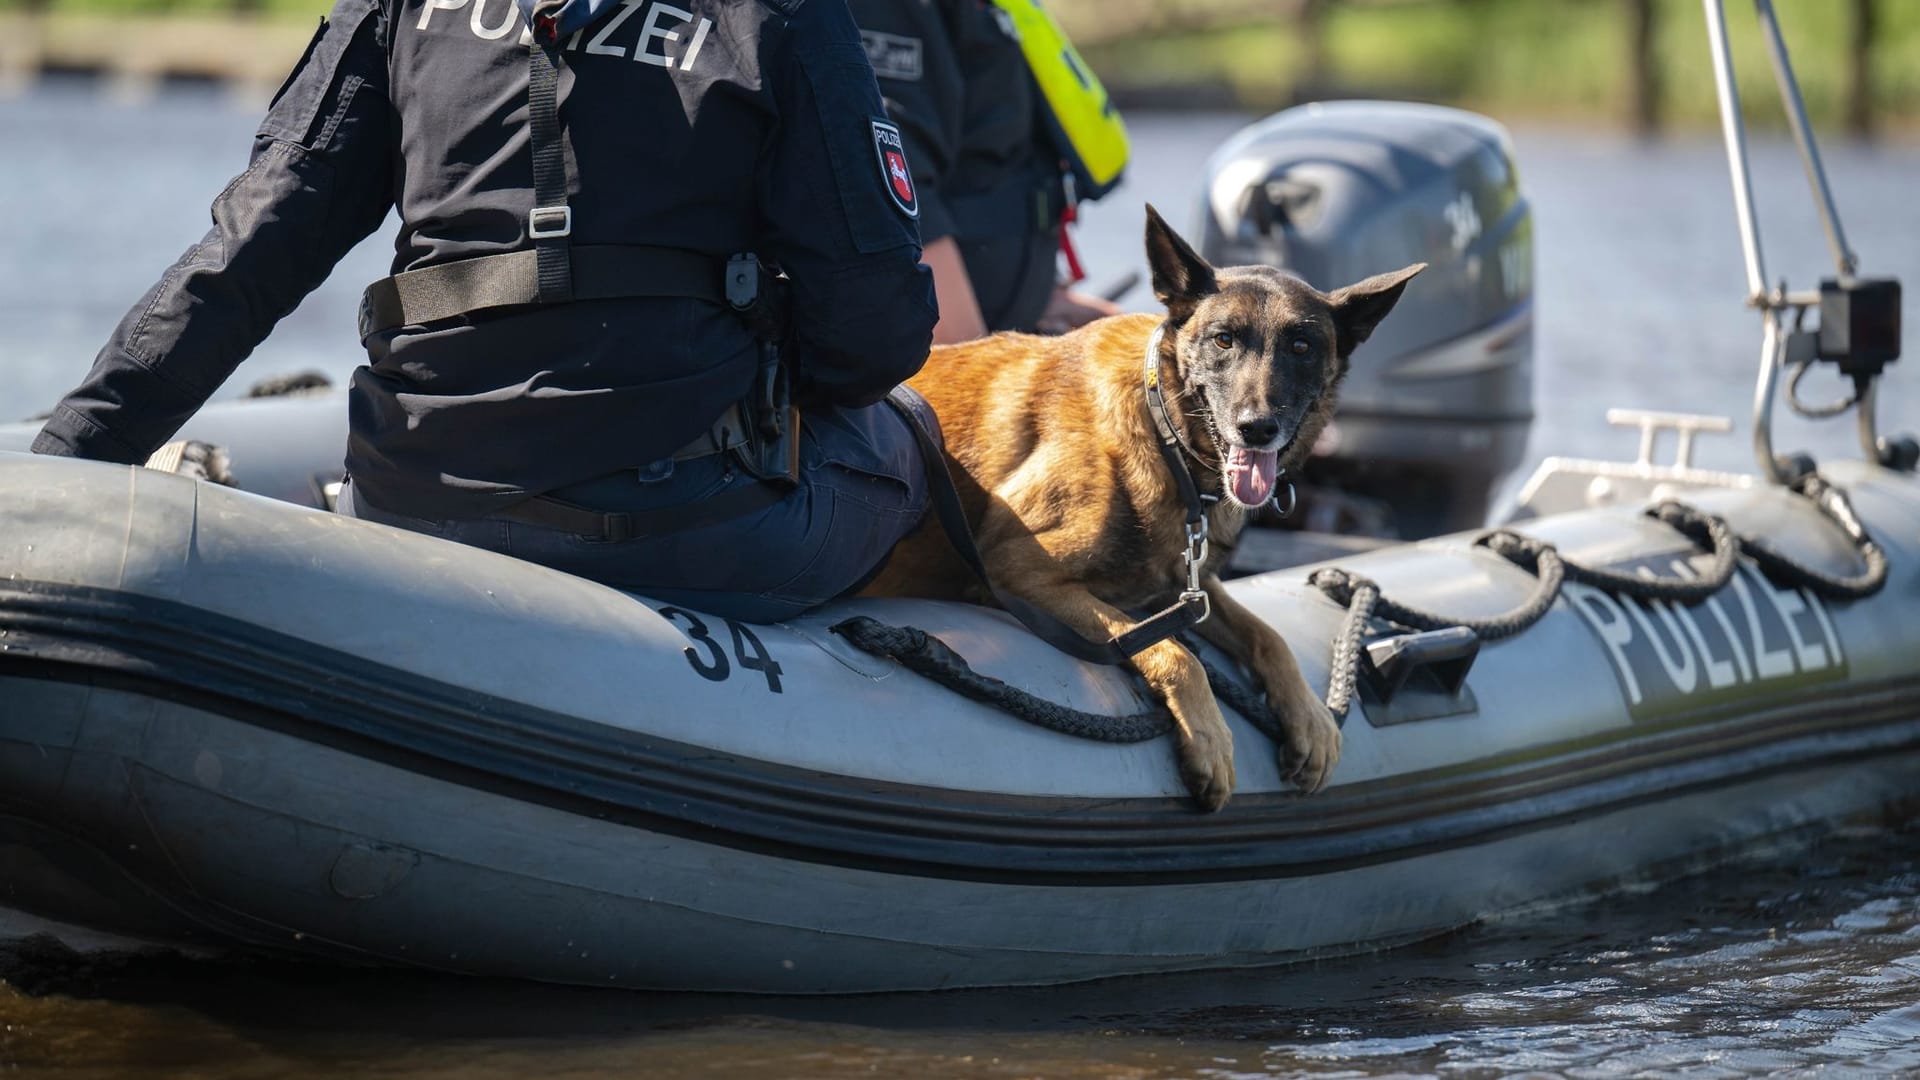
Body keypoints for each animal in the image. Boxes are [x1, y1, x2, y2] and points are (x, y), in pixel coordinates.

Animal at [864, 203, 1420, 807]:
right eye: (1224, 340)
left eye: (1301, 347)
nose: (1256, 428)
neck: (1165, 433)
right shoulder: (1018, 571)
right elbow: (1175, 652)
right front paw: (1209, 739)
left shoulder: (1188, 585)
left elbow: (1267, 635)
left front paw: (1310, 717)